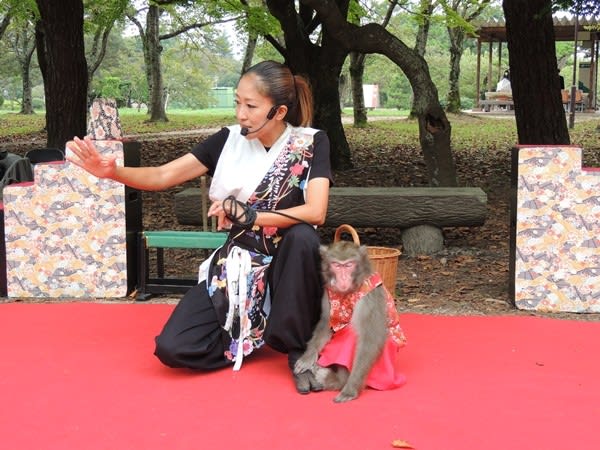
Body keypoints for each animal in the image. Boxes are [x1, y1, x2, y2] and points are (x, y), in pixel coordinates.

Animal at [292, 241, 406, 402]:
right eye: (337, 265)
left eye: (349, 265)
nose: (343, 278)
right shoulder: (327, 292)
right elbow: (326, 323)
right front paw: (307, 357)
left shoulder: (369, 297)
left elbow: (370, 339)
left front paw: (350, 389)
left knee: (352, 332)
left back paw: (334, 380)